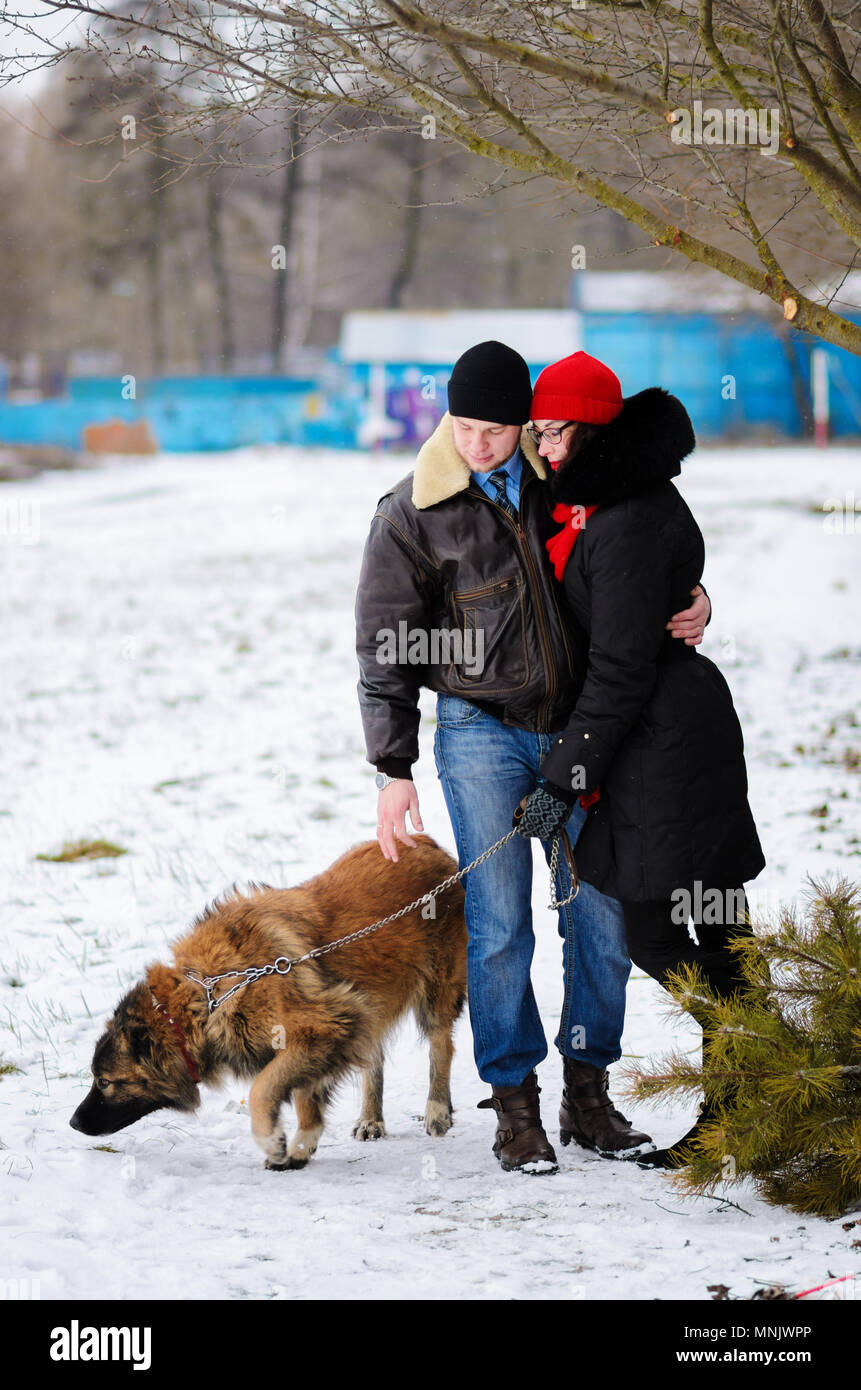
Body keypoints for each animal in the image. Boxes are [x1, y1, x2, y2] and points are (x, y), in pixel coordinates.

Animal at [70, 839, 467, 1167]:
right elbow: (306, 1096)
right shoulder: (334, 1029)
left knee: (441, 1044)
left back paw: (436, 1109)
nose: (72, 1123)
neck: (209, 994)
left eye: (105, 1081)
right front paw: (301, 1147)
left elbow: (262, 1088)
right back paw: (371, 1118)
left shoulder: (324, 1025)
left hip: (435, 988)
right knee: (376, 1059)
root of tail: (424, 842)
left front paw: (273, 1141)